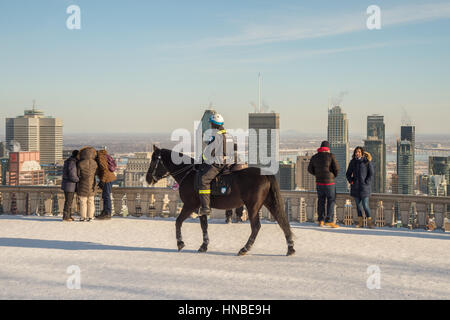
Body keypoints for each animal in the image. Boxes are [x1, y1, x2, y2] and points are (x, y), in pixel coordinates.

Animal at [147, 146, 296, 256]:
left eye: (154, 160)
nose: (148, 178)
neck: (188, 174)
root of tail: (265, 174)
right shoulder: (202, 207)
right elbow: (204, 225)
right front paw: (204, 246)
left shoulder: (190, 205)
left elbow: (178, 221)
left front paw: (180, 243)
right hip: (269, 202)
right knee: (282, 221)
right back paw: (290, 248)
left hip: (253, 206)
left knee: (256, 227)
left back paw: (244, 249)